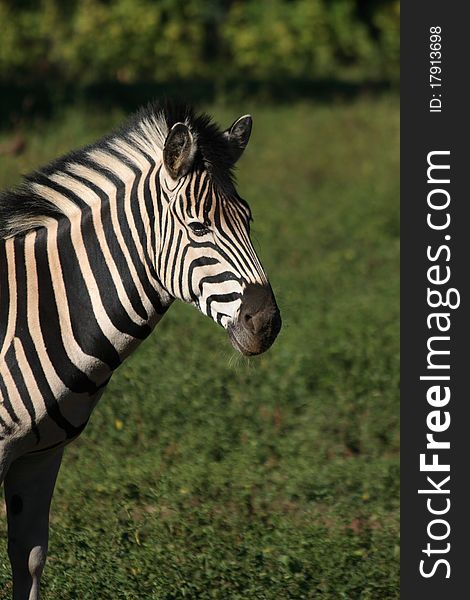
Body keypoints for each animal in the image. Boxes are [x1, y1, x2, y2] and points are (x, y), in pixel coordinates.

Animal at [0, 101, 280, 596]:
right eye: (198, 227)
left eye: (248, 219)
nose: (266, 323)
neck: (34, 307)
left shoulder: (39, 454)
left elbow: (28, 558)